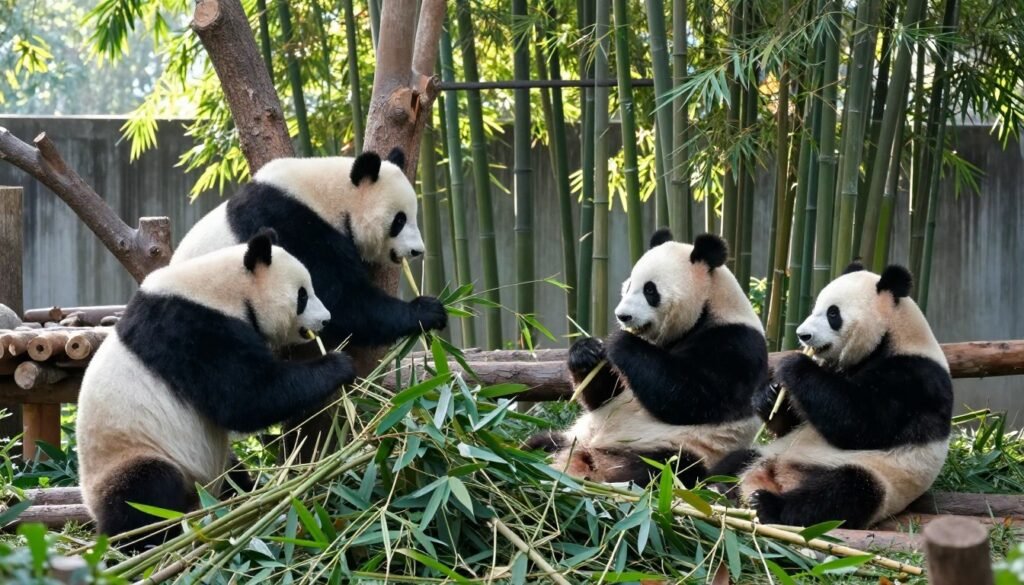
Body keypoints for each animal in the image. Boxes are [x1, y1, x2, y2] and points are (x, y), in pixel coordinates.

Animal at [77, 230, 356, 548]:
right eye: (302, 296)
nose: (326, 319)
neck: (221, 289)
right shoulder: (191, 330)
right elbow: (246, 398)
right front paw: (339, 364)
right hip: (132, 453)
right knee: (145, 491)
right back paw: (144, 540)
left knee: (232, 471)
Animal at [526, 231, 768, 486]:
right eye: (629, 285)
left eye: (650, 290)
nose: (623, 316)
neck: (707, 310)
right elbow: (605, 395)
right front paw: (586, 352)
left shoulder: (736, 345)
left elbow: (693, 396)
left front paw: (620, 341)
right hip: (571, 436)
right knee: (541, 441)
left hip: (675, 449)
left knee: (661, 468)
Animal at [711, 263, 953, 529]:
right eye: (815, 307)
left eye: (833, 314)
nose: (803, 335)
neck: (893, 336)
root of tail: (776, 477)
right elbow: (795, 421)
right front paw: (770, 395)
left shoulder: (914, 379)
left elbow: (861, 424)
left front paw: (795, 365)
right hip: (768, 453)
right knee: (736, 459)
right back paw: (714, 486)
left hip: (878, 478)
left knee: (843, 493)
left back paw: (766, 504)